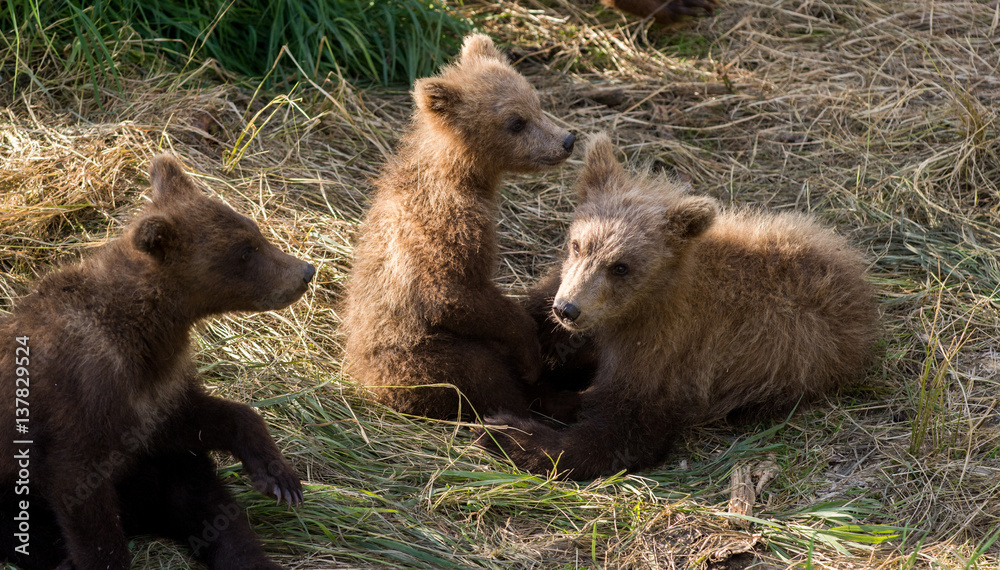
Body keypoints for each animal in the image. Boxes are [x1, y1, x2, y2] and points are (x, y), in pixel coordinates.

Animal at [0, 155, 314, 569]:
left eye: (254, 230)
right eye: (245, 251)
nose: (305, 272)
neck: (146, 329)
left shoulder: (157, 395)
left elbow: (206, 417)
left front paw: (280, 478)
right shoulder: (79, 401)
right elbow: (82, 497)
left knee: (212, 510)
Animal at [342, 33, 576, 420]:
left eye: (536, 102)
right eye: (515, 122)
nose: (566, 140)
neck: (462, 177)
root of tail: (366, 382)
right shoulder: (446, 226)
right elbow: (455, 293)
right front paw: (530, 356)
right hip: (424, 356)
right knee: (481, 375)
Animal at [480, 133, 879, 480]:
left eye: (621, 266)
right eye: (577, 245)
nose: (568, 309)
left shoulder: (669, 352)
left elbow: (624, 431)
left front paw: (510, 432)